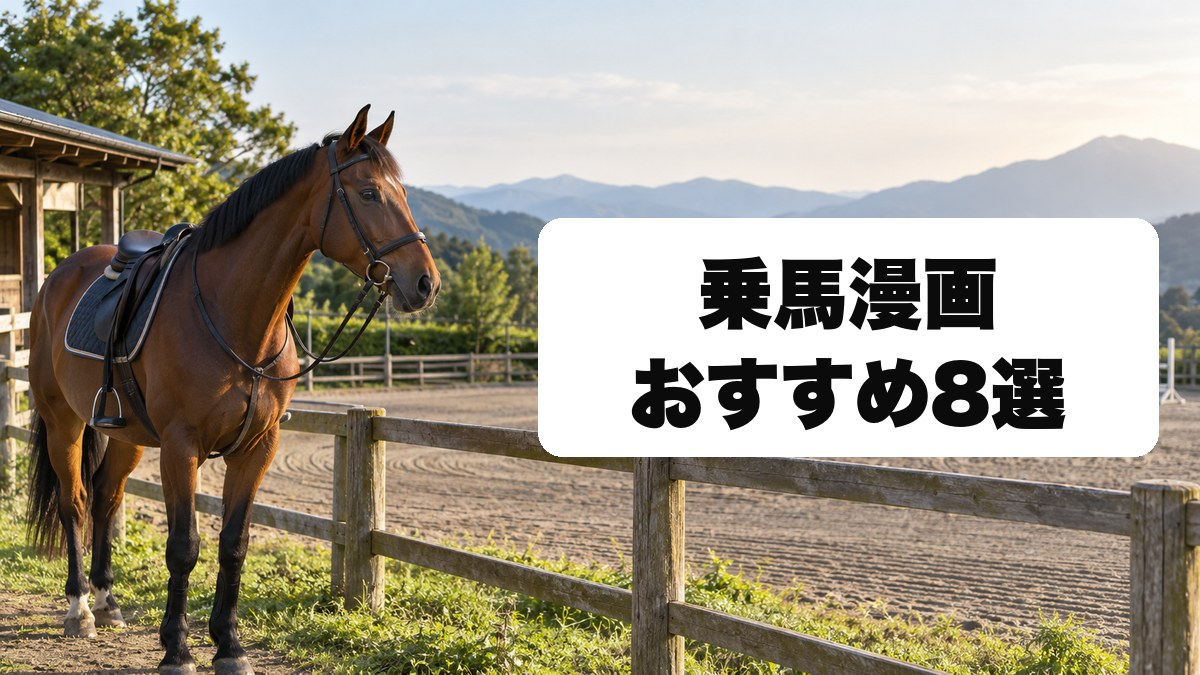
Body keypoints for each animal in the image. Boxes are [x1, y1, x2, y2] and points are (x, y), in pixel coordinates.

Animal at [24, 105, 439, 675]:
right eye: (369, 193)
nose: (425, 283)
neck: (232, 315)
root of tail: (58, 277)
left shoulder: (257, 447)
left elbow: (233, 544)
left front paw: (229, 645)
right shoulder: (182, 448)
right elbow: (184, 547)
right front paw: (177, 650)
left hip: (128, 433)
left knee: (107, 497)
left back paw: (108, 602)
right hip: (62, 421)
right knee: (75, 503)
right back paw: (80, 608)